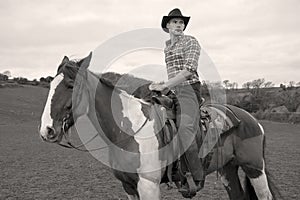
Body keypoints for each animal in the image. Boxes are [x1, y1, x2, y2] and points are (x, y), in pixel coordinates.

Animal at [38, 53, 278, 200]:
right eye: (50, 84)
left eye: (71, 85)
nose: (47, 130)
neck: (130, 131)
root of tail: (253, 120)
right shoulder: (129, 186)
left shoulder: (148, 185)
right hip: (228, 168)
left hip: (254, 167)